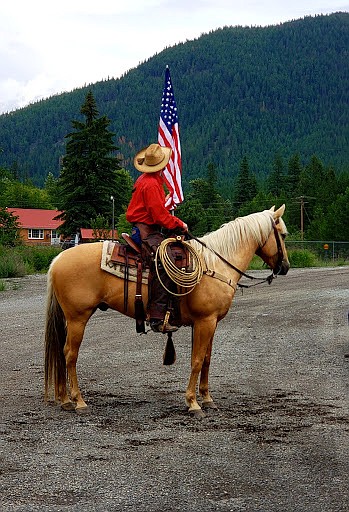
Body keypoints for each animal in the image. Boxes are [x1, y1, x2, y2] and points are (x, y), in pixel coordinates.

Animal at [43, 204, 288, 416]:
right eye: (283, 235)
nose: (285, 267)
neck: (215, 264)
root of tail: (58, 259)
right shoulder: (205, 321)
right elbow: (197, 360)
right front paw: (193, 403)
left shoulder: (212, 322)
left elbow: (207, 359)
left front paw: (207, 399)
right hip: (78, 317)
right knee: (70, 354)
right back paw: (79, 401)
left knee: (63, 354)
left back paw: (65, 400)